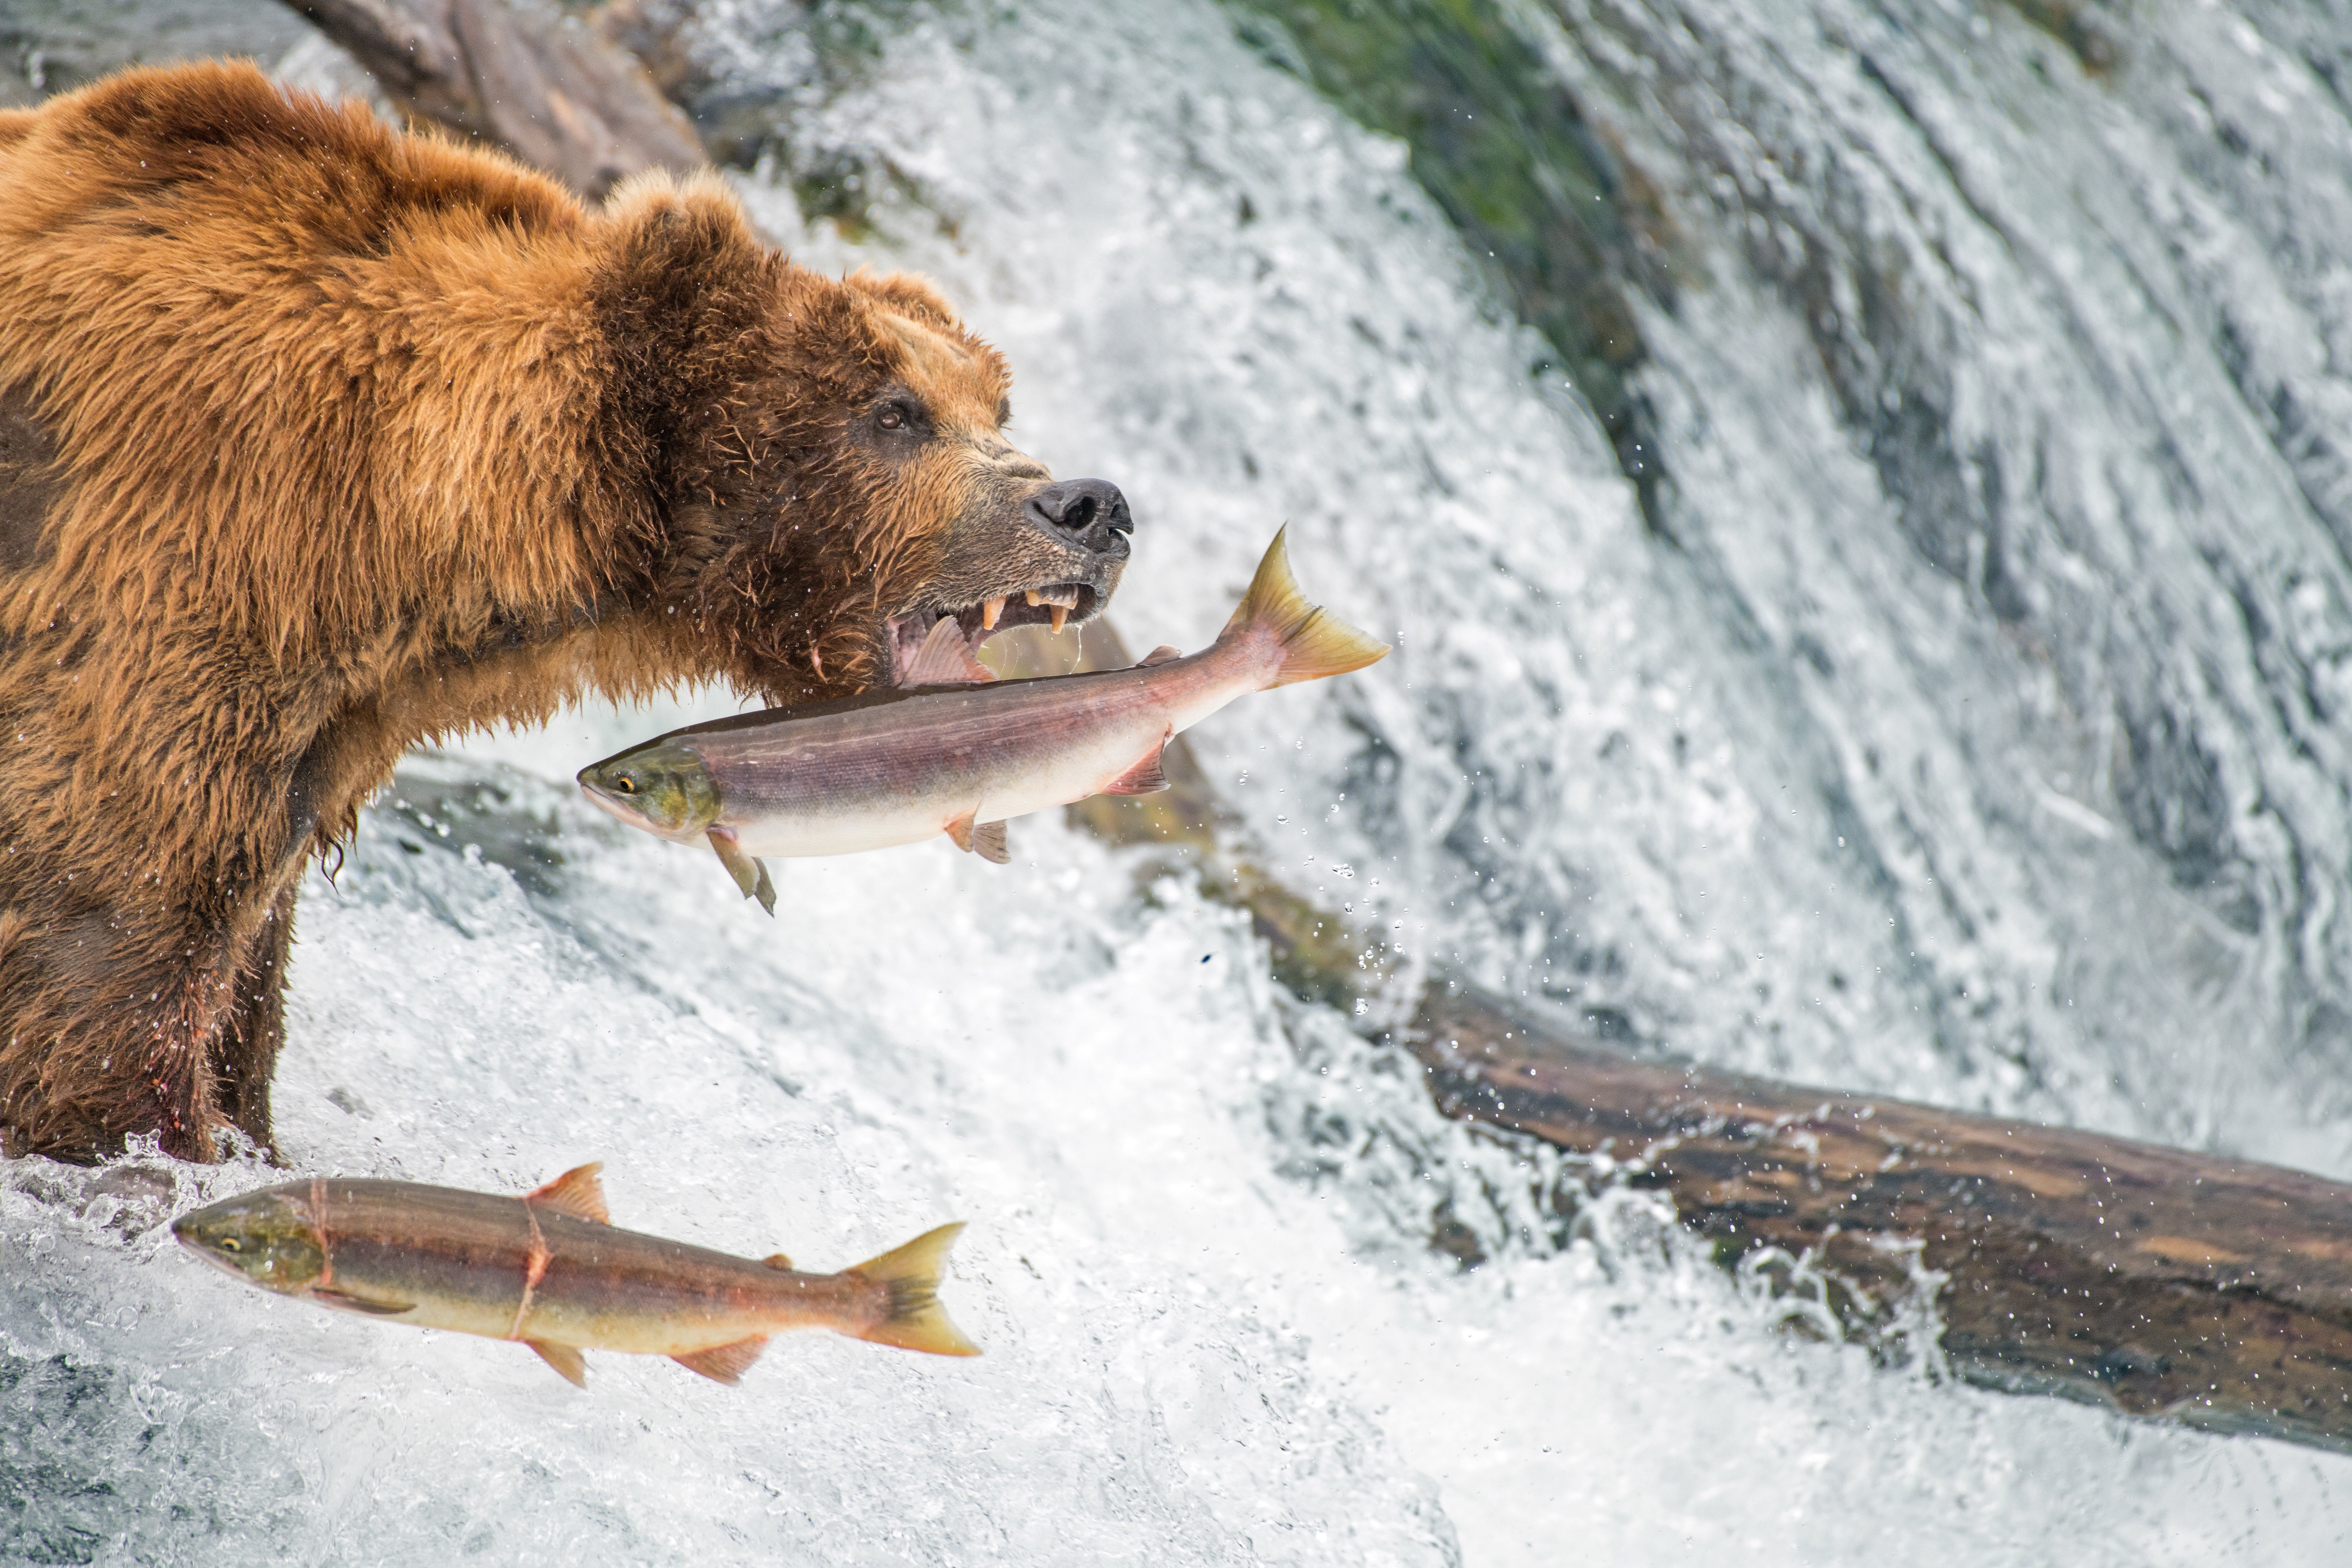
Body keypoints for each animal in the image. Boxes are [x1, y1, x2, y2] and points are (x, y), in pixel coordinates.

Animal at [0, 64, 1129, 1166]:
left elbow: (240, 989)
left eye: (994, 406)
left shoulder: (313, 731)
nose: (1091, 506)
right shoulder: (167, 602)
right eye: (894, 412)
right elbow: (102, 971)